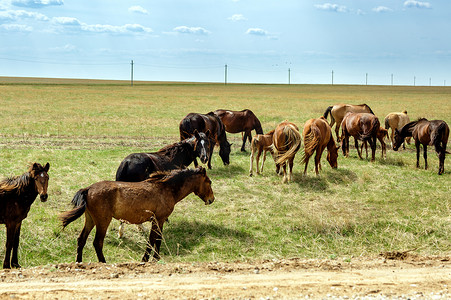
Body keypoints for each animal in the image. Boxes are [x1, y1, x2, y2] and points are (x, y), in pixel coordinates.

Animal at [60, 166, 215, 262]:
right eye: (209, 181)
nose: (211, 199)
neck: (166, 188)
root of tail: (88, 189)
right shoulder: (158, 219)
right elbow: (152, 239)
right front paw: (146, 259)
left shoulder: (159, 220)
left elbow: (157, 239)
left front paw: (156, 258)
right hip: (103, 221)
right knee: (97, 243)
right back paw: (103, 262)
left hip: (90, 220)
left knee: (81, 240)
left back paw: (79, 263)